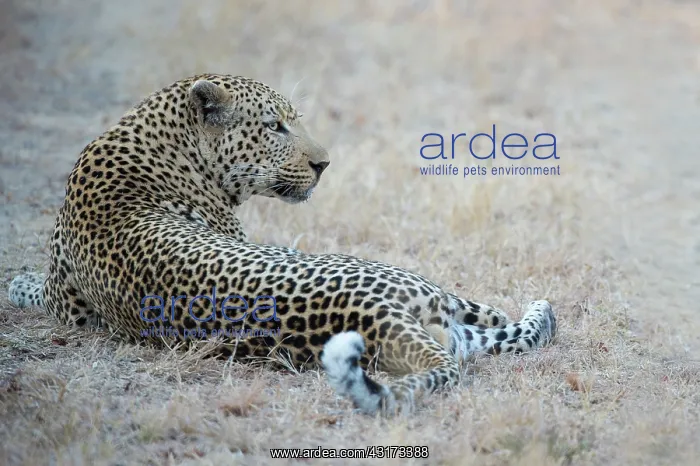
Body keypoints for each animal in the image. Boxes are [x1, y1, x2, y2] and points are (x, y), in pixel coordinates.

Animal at [8, 74, 556, 415]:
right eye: (274, 126)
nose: (324, 163)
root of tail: (374, 318)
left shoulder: (66, 302)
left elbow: (29, 287)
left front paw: (15, 282)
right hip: (420, 288)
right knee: (511, 325)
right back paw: (542, 308)